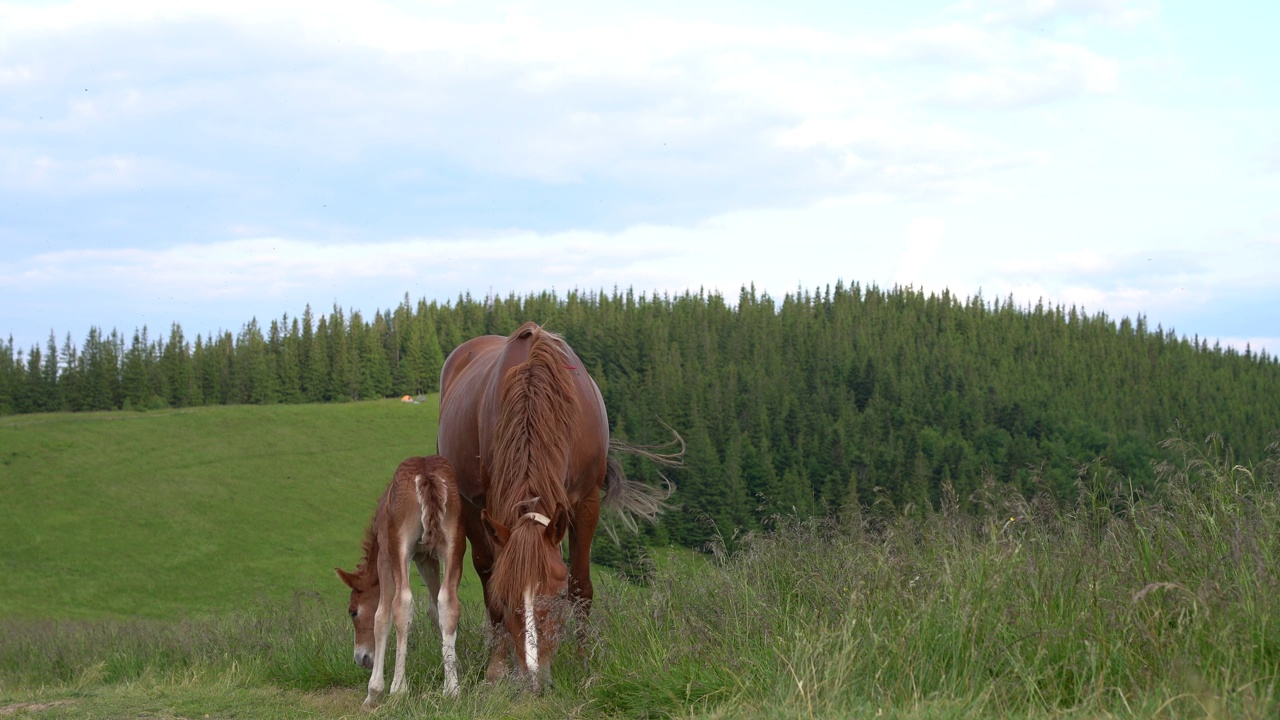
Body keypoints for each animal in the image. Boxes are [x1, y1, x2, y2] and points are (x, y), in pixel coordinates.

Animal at [335, 453, 465, 702]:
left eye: (353, 611)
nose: (360, 658)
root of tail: (426, 475)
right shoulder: (426, 558)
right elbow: (435, 609)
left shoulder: (385, 557)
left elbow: (382, 615)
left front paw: (374, 691)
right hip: (454, 543)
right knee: (448, 602)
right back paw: (452, 689)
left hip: (400, 548)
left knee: (402, 604)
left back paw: (398, 688)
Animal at [437, 322, 670, 686]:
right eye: (509, 596)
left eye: (556, 595)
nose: (534, 677)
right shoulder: (492, 504)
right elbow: (492, 587)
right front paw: (499, 668)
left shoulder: (587, 500)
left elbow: (581, 584)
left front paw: (584, 663)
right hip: (471, 506)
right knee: (486, 568)